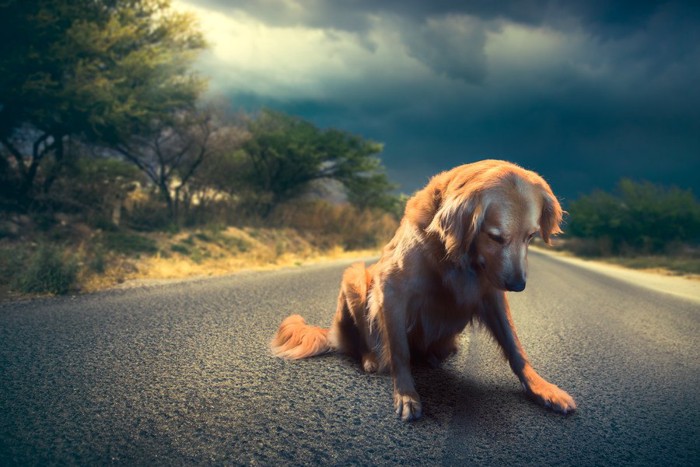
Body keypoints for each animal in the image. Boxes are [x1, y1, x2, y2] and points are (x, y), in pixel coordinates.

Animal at [270, 160, 576, 420]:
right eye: (495, 237)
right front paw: (407, 396)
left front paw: (542, 388)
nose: (518, 285)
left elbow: (515, 347)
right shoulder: (391, 289)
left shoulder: (491, 295)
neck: (456, 256)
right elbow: (399, 351)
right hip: (354, 276)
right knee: (362, 343)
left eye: (531, 236)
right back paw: (371, 359)